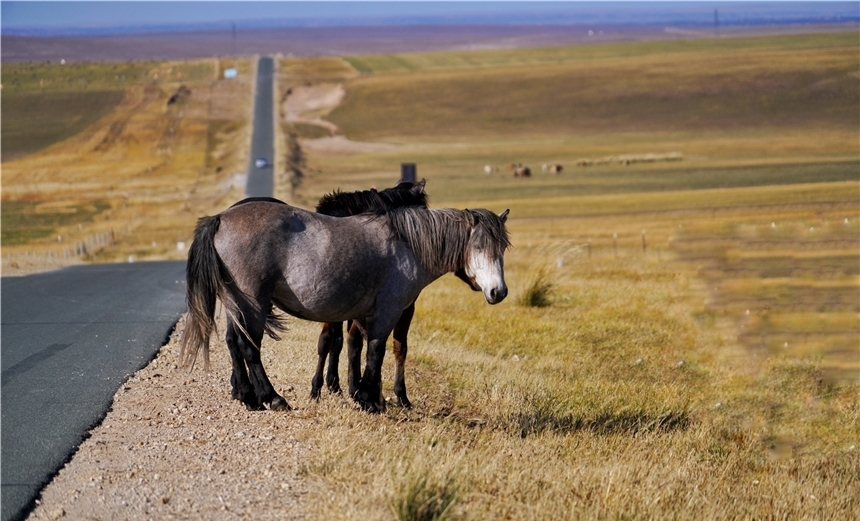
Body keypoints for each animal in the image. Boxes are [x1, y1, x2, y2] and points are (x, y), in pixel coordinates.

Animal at [178, 202, 508, 410]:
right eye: (479, 246)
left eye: (503, 247)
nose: (499, 291)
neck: (406, 245)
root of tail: (221, 218)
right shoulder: (388, 311)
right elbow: (375, 351)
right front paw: (370, 400)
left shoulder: (365, 315)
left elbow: (358, 348)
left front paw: (364, 394)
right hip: (253, 305)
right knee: (250, 348)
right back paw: (272, 398)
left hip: (237, 305)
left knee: (235, 343)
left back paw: (248, 396)